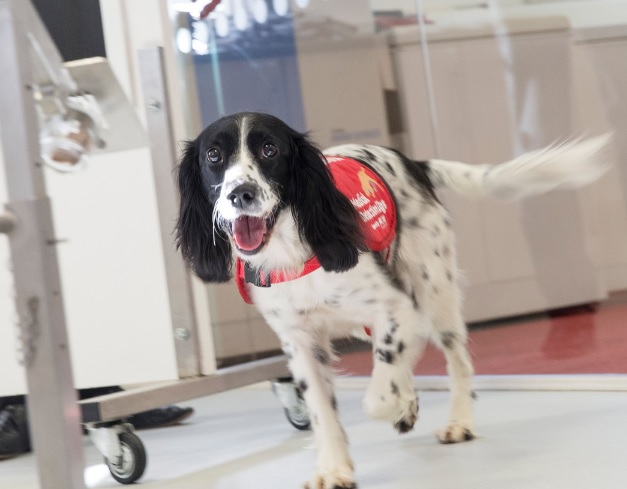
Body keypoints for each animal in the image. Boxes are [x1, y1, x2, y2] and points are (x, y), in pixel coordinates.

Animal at [175, 111, 608, 488]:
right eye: (213, 155)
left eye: (269, 149)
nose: (240, 194)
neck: (290, 250)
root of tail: (412, 162)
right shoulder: (301, 343)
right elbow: (322, 411)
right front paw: (333, 469)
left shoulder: (396, 307)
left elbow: (377, 395)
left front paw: (398, 405)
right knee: (409, 350)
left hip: (434, 294)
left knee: (456, 361)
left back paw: (459, 423)